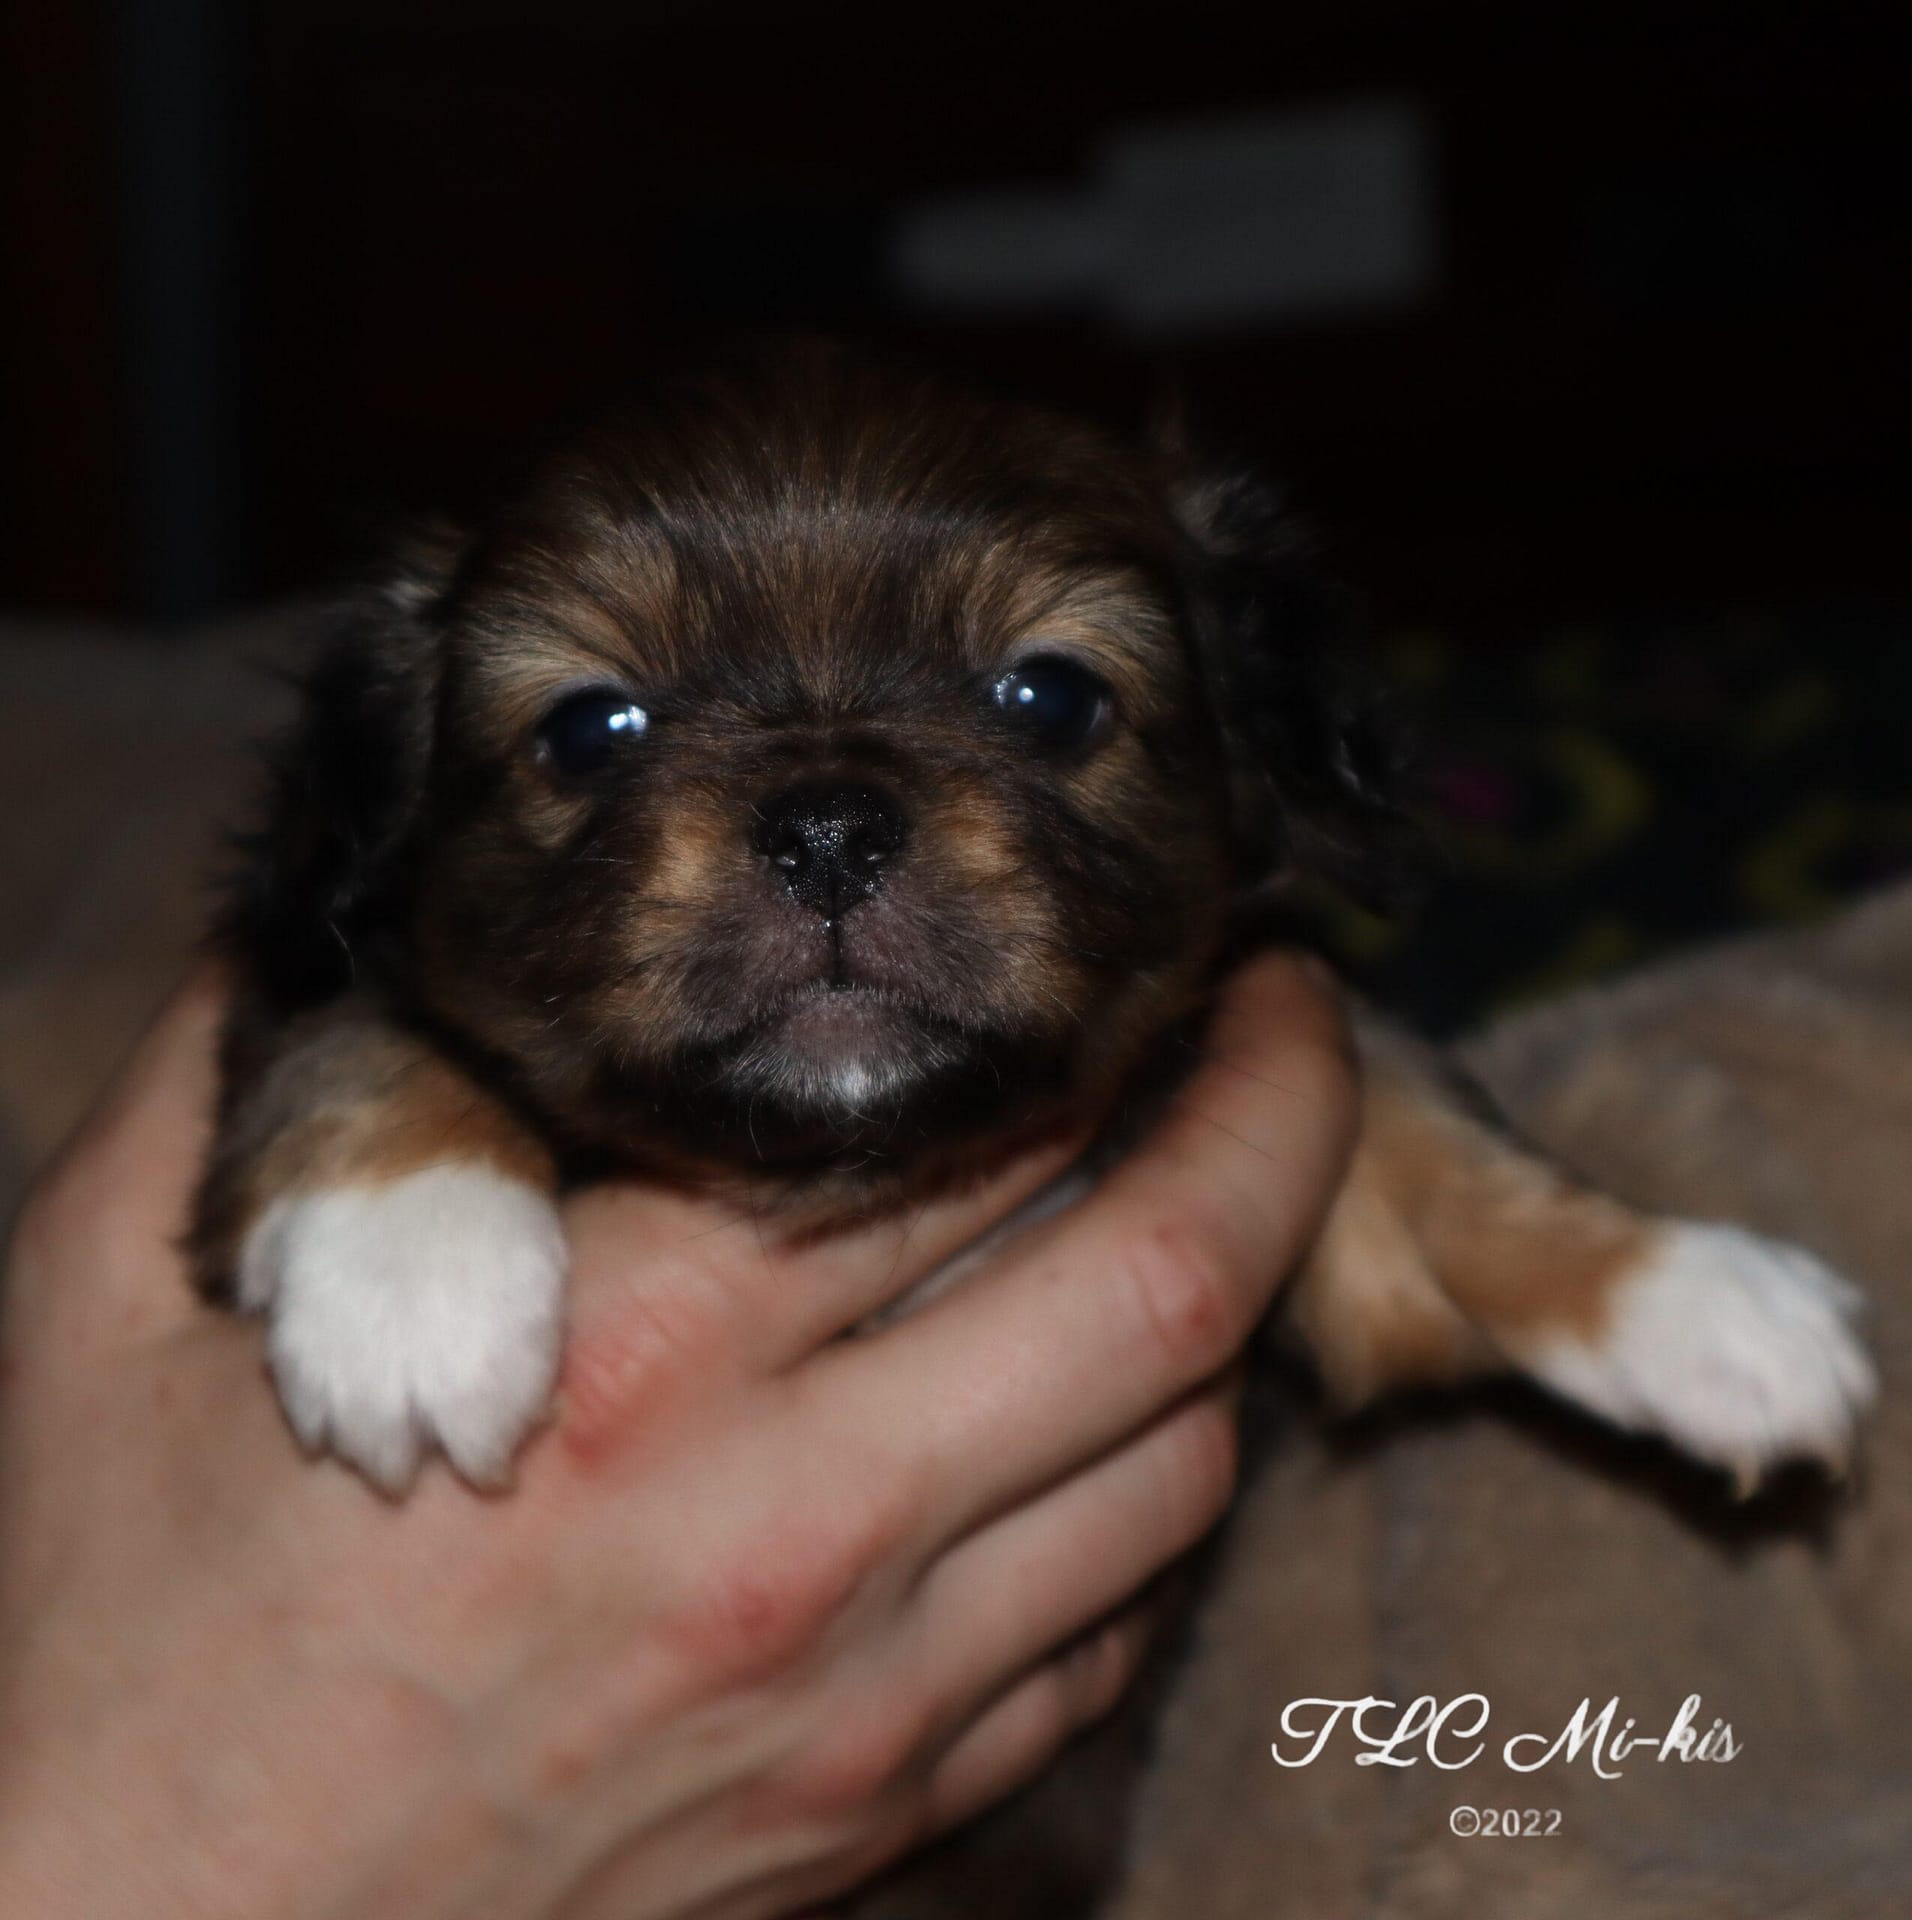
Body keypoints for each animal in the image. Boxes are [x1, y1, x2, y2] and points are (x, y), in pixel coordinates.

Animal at [191, 343, 1871, 1511]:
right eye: (591, 730)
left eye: (1049, 698)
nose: (828, 825)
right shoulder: (301, 954)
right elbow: (354, 1021)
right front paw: (413, 1276)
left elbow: (1429, 1128)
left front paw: (1707, 1300)